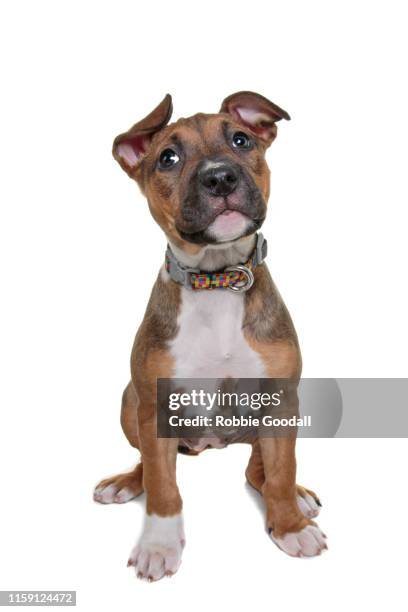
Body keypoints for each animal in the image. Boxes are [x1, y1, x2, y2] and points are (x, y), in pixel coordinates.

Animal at [94, 93, 326, 580]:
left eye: (241, 140)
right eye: (168, 158)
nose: (220, 176)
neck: (217, 280)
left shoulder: (282, 400)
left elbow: (280, 472)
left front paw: (290, 526)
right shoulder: (155, 405)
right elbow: (163, 484)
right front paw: (159, 545)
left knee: (258, 472)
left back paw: (296, 497)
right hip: (130, 401)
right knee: (147, 464)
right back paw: (126, 483)